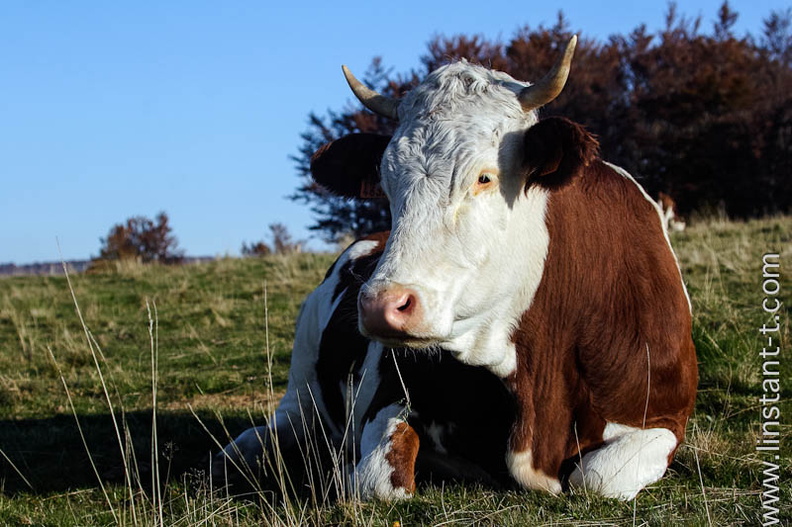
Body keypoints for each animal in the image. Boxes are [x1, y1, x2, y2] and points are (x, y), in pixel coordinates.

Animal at [217, 35, 697, 501]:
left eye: (484, 177)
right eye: (387, 184)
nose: (381, 305)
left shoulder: (666, 415)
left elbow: (597, 478)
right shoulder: (389, 396)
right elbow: (378, 482)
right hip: (301, 386)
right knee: (270, 433)